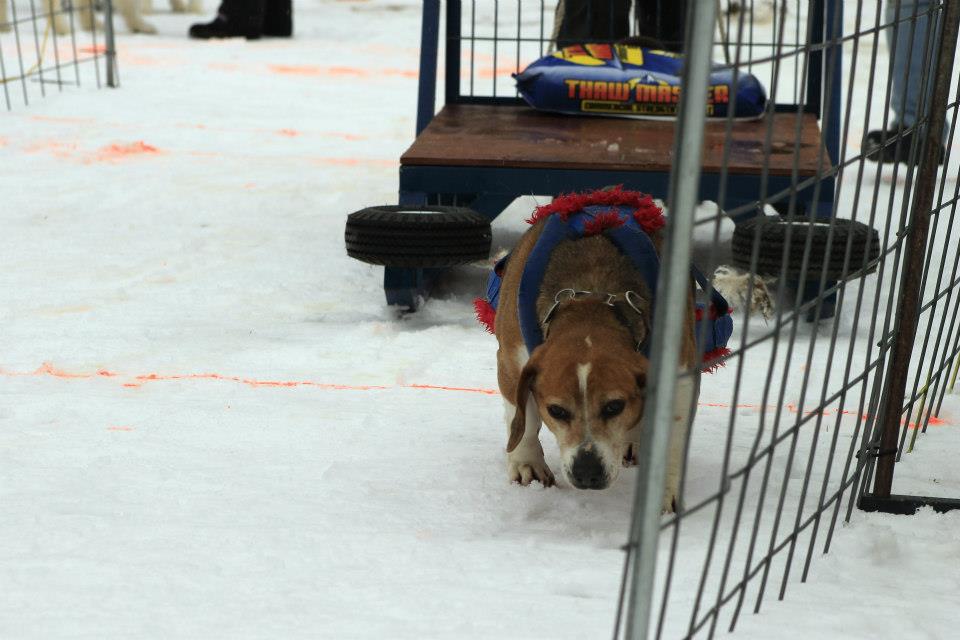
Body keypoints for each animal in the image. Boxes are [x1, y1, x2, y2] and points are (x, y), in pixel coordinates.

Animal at [496, 198, 696, 512]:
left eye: (614, 406)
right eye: (557, 411)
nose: (587, 472)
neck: (590, 302)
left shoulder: (680, 372)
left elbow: (671, 435)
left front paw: (662, 495)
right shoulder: (511, 359)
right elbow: (523, 417)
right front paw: (526, 463)